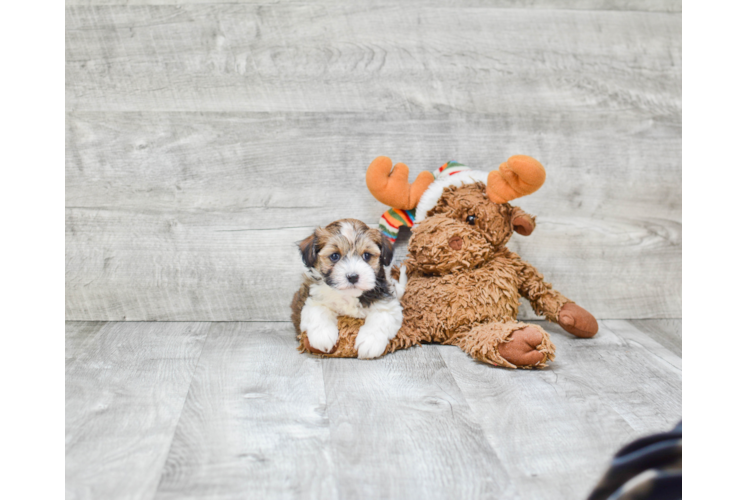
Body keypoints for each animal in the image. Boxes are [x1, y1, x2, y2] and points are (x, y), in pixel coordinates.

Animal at [290, 220, 404, 360]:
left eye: (366, 255)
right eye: (334, 256)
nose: (353, 276)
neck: (349, 296)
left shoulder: (388, 303)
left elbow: (381, 317)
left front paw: (370, 342)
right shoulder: (314, 298)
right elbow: (318, 311)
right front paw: (322, 336)